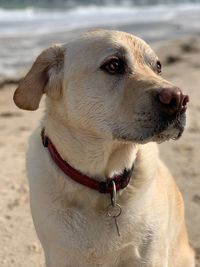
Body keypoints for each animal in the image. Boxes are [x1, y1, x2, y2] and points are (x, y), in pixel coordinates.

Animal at [13, 30, 195, 266]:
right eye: (114, 65)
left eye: (158, 67)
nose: (180, 99)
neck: (104, 181)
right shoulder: (61, 256)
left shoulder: (149, 256)